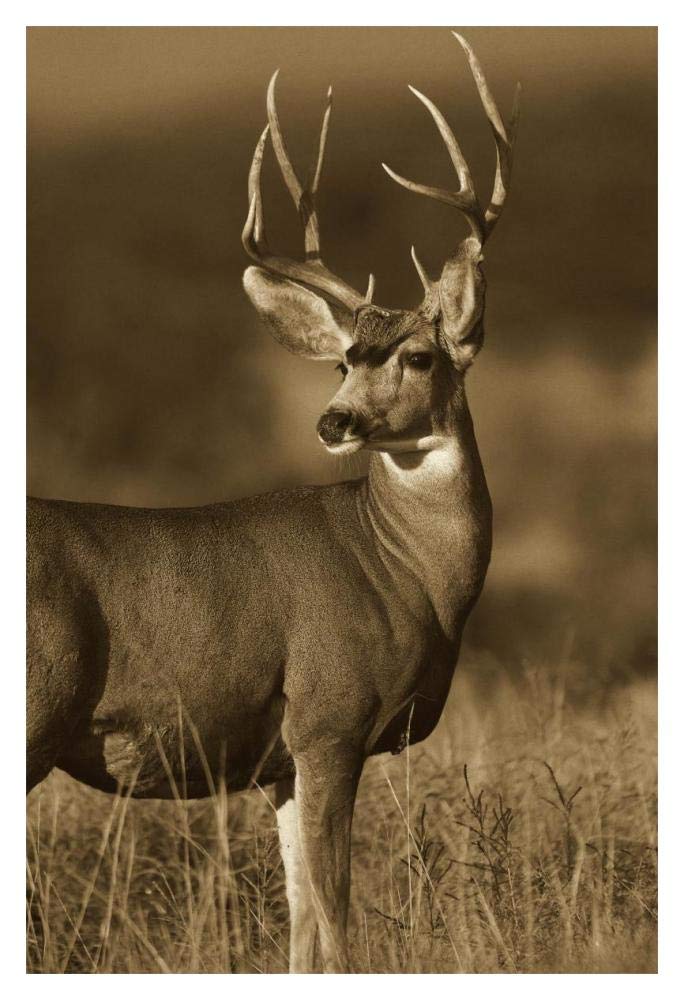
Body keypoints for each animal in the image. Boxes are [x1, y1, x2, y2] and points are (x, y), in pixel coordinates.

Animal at [27, 32, 519, 973]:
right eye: (344, 361)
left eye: (418, 357)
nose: (333, 420)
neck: (407, 575)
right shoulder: (328, 718)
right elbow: (336, 921)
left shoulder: (281, 762)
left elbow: (300, 927)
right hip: (37, 701)